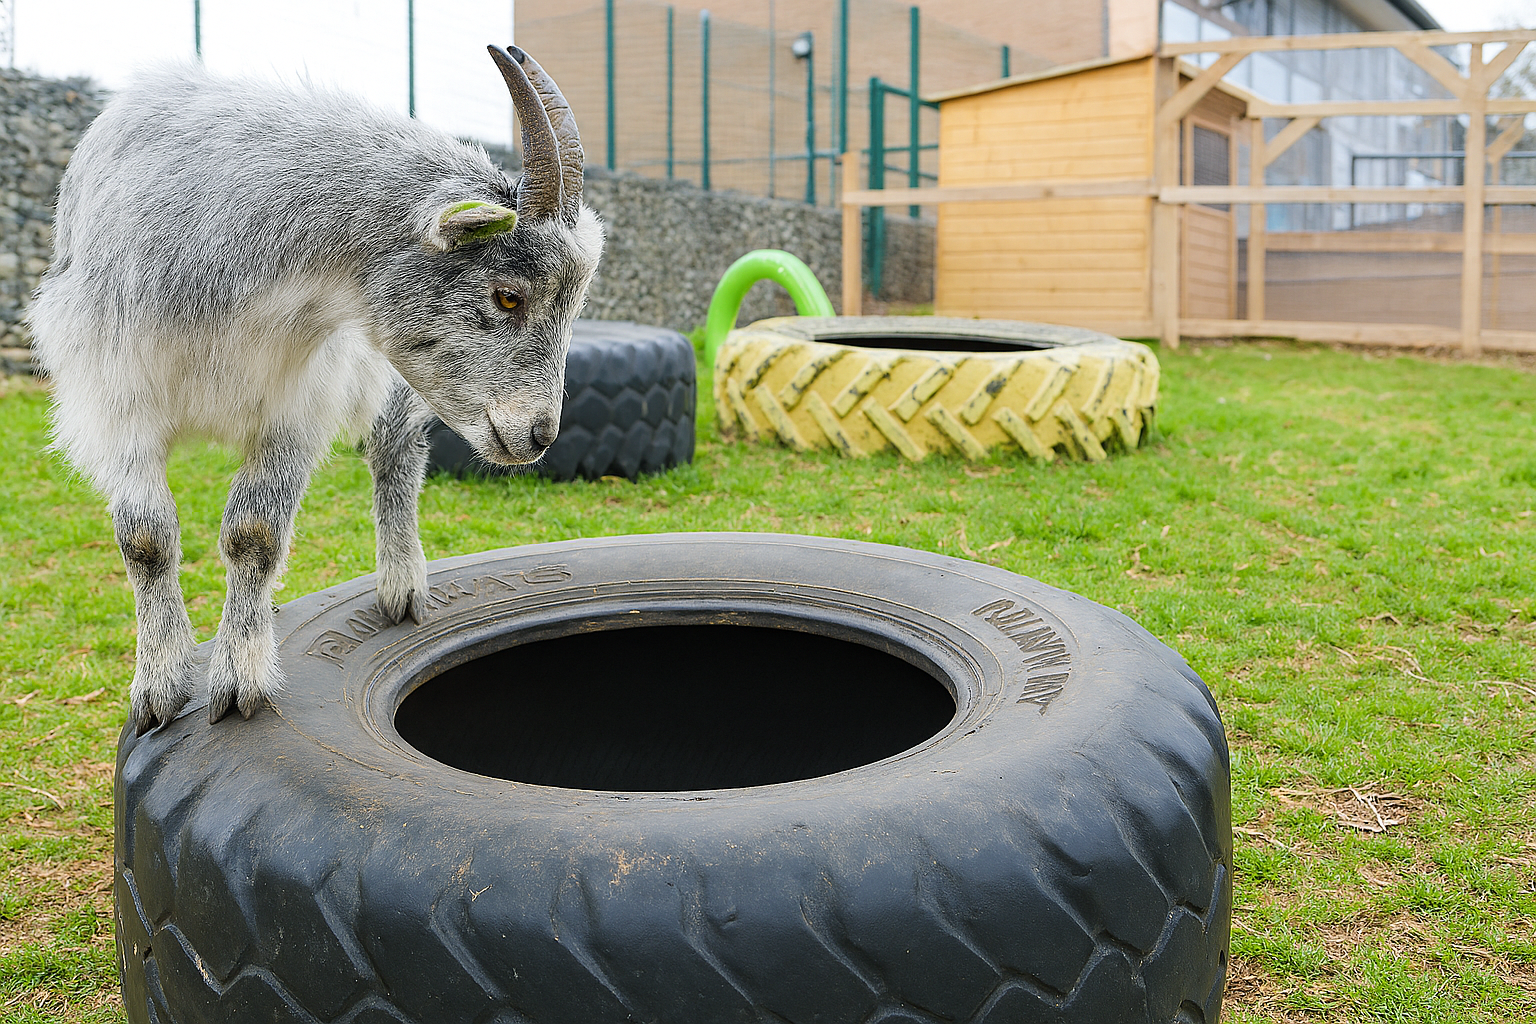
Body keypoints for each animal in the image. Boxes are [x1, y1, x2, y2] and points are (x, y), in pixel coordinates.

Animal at [28, 46, 603, 733]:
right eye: (508, 295)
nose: (540, 435)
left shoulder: (296, 401)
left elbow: (255, 534)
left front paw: (238, 682)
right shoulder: (116, 396)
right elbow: (146, 539)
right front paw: (159, 688)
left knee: (395, 453)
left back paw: (401, 585)